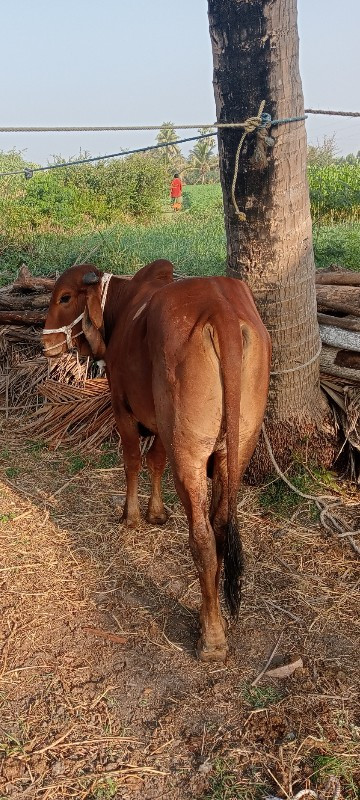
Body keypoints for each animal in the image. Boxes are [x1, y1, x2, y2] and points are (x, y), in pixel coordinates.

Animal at [43, 262, 270, 664]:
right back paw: (208, 615)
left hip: (190, 453)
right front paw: (157, 512)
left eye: (65, 298)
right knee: (220, 528)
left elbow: (134, 460)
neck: (122, 307)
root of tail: (222, 313)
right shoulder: (164, 428)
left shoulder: (121, 404)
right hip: (236, 447)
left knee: (203, 539)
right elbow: (155, 461)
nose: (44, 343)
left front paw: (132, 516)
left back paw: (212, 638)